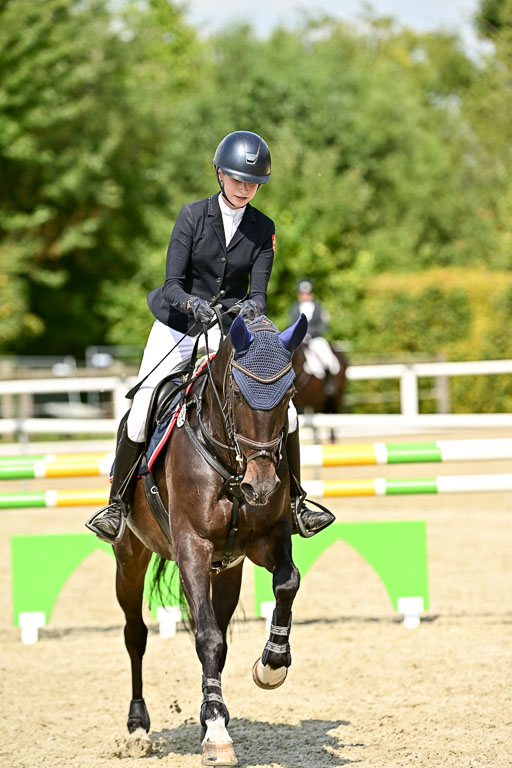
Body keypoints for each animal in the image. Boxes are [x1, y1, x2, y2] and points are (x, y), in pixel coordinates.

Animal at [113, 312, 308, 766]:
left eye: (290, 393)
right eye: (236, 391)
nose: (262, 487)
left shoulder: (268, 538)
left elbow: (287, 583)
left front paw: (272, 665)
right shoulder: (192, 548)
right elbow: (207, 638)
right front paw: (217, 731)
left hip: (228, 570)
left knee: (217, 624)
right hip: (129, 557)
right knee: (136, 634)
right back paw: (138, 727)